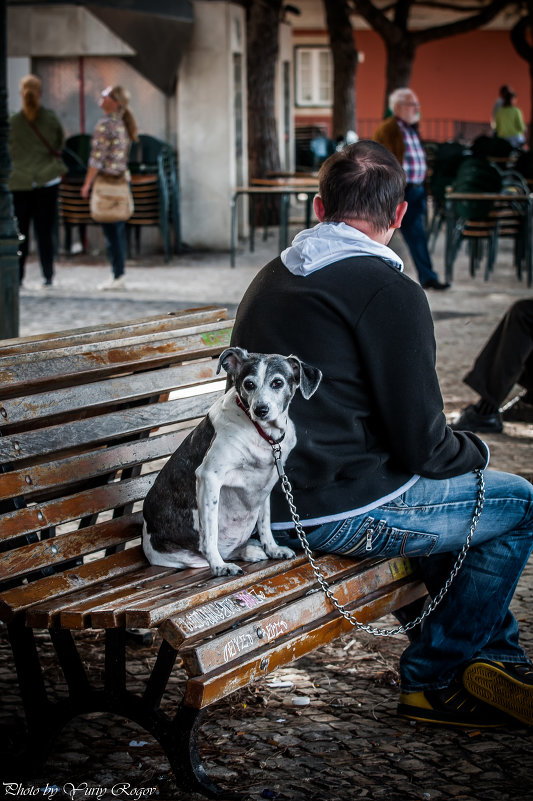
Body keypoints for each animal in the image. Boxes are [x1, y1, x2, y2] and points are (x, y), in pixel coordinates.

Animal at [142, 344, 320, 576]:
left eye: (277, 383)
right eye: (249, 384)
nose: (260, 409)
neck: (262, 434)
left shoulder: (268, 482)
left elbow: (265, 522)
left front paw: (272, 549)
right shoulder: (209, 477)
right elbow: (209, 534)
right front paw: (219, 566)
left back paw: (250, 551)